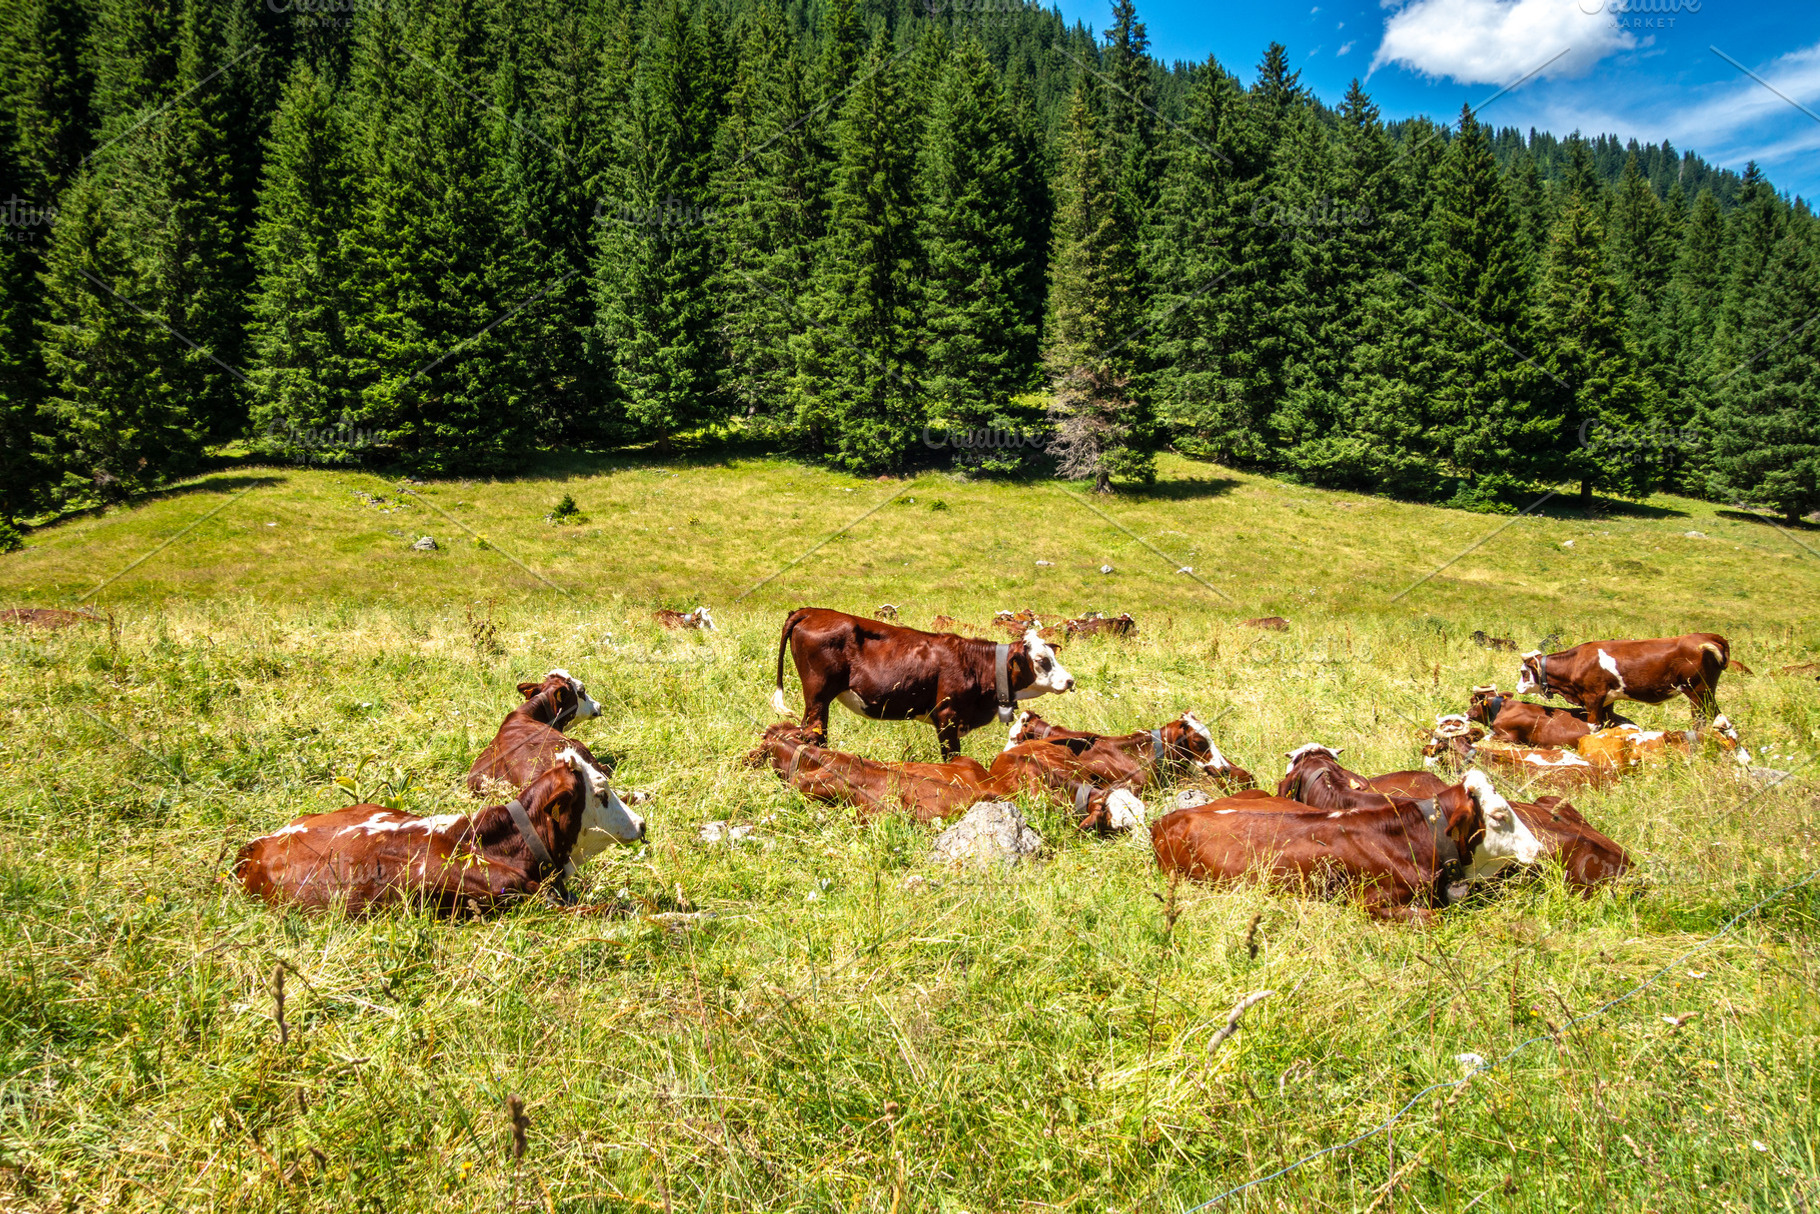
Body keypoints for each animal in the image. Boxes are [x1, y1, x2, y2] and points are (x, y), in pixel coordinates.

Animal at [771, 608, 1075, 758]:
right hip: (818, 694)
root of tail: (811, 610)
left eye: (1053, 655)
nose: (1070, 680)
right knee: (813, 733)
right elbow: (952, 756)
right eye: (1041, 660)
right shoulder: (947, 716)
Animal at [1516, 633, 1737, 726]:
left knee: (1702, 720)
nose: (1518, 689)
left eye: (1524, 672)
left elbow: (1592, 727)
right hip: (1706, 693)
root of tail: (1705, 636)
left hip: (1698, 692)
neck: (1577, 662)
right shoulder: (1607, 700)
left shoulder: (1593, 697)